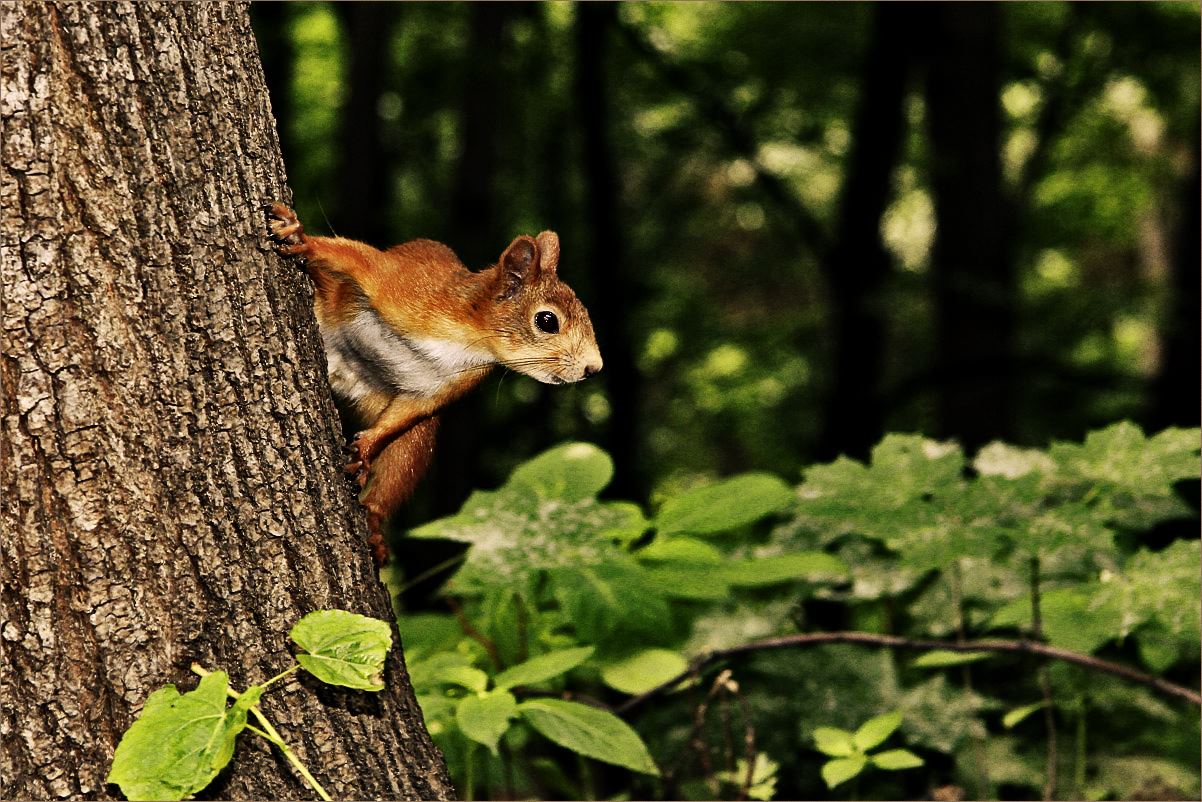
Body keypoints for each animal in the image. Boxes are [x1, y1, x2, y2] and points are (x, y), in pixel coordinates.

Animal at [264, 200, 601, 565]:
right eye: (547, 320)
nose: (594, 368)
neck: (468, 341)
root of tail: (342, 377)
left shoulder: (439, 389)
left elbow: (409, 411)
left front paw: (366, 448)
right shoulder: (405, 286)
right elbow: (356, 259)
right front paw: (300, 237)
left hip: (407, 433)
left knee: (400, 462)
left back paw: (374, 520)